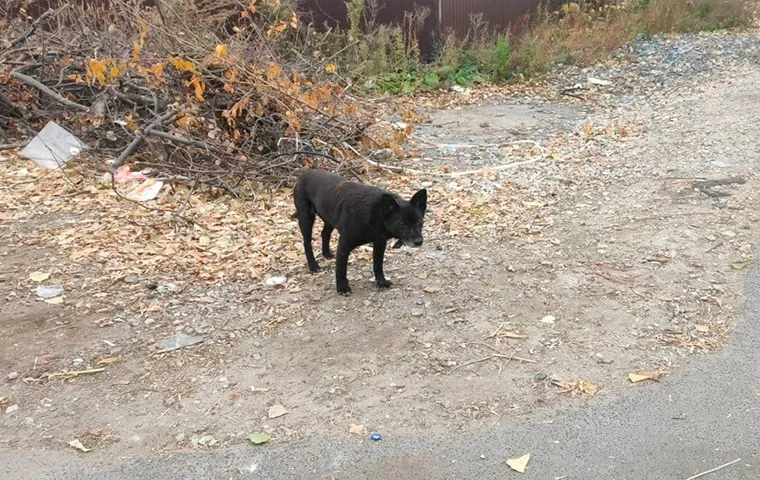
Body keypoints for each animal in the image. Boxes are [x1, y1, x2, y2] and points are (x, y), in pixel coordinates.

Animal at [294, 169, 428, 296]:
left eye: (419, 221)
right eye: (402, 223)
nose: (418, 242)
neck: (376, 214)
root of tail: (304, 174)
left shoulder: (380, 243)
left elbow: (378, 265)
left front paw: (381, 282)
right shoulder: (344, 245)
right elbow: (341, 269)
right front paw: (342, 288)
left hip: (329, 218)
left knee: (325, 233)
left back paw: (326, 253)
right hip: (306, 218)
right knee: (307, 243)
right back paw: (313, 266)